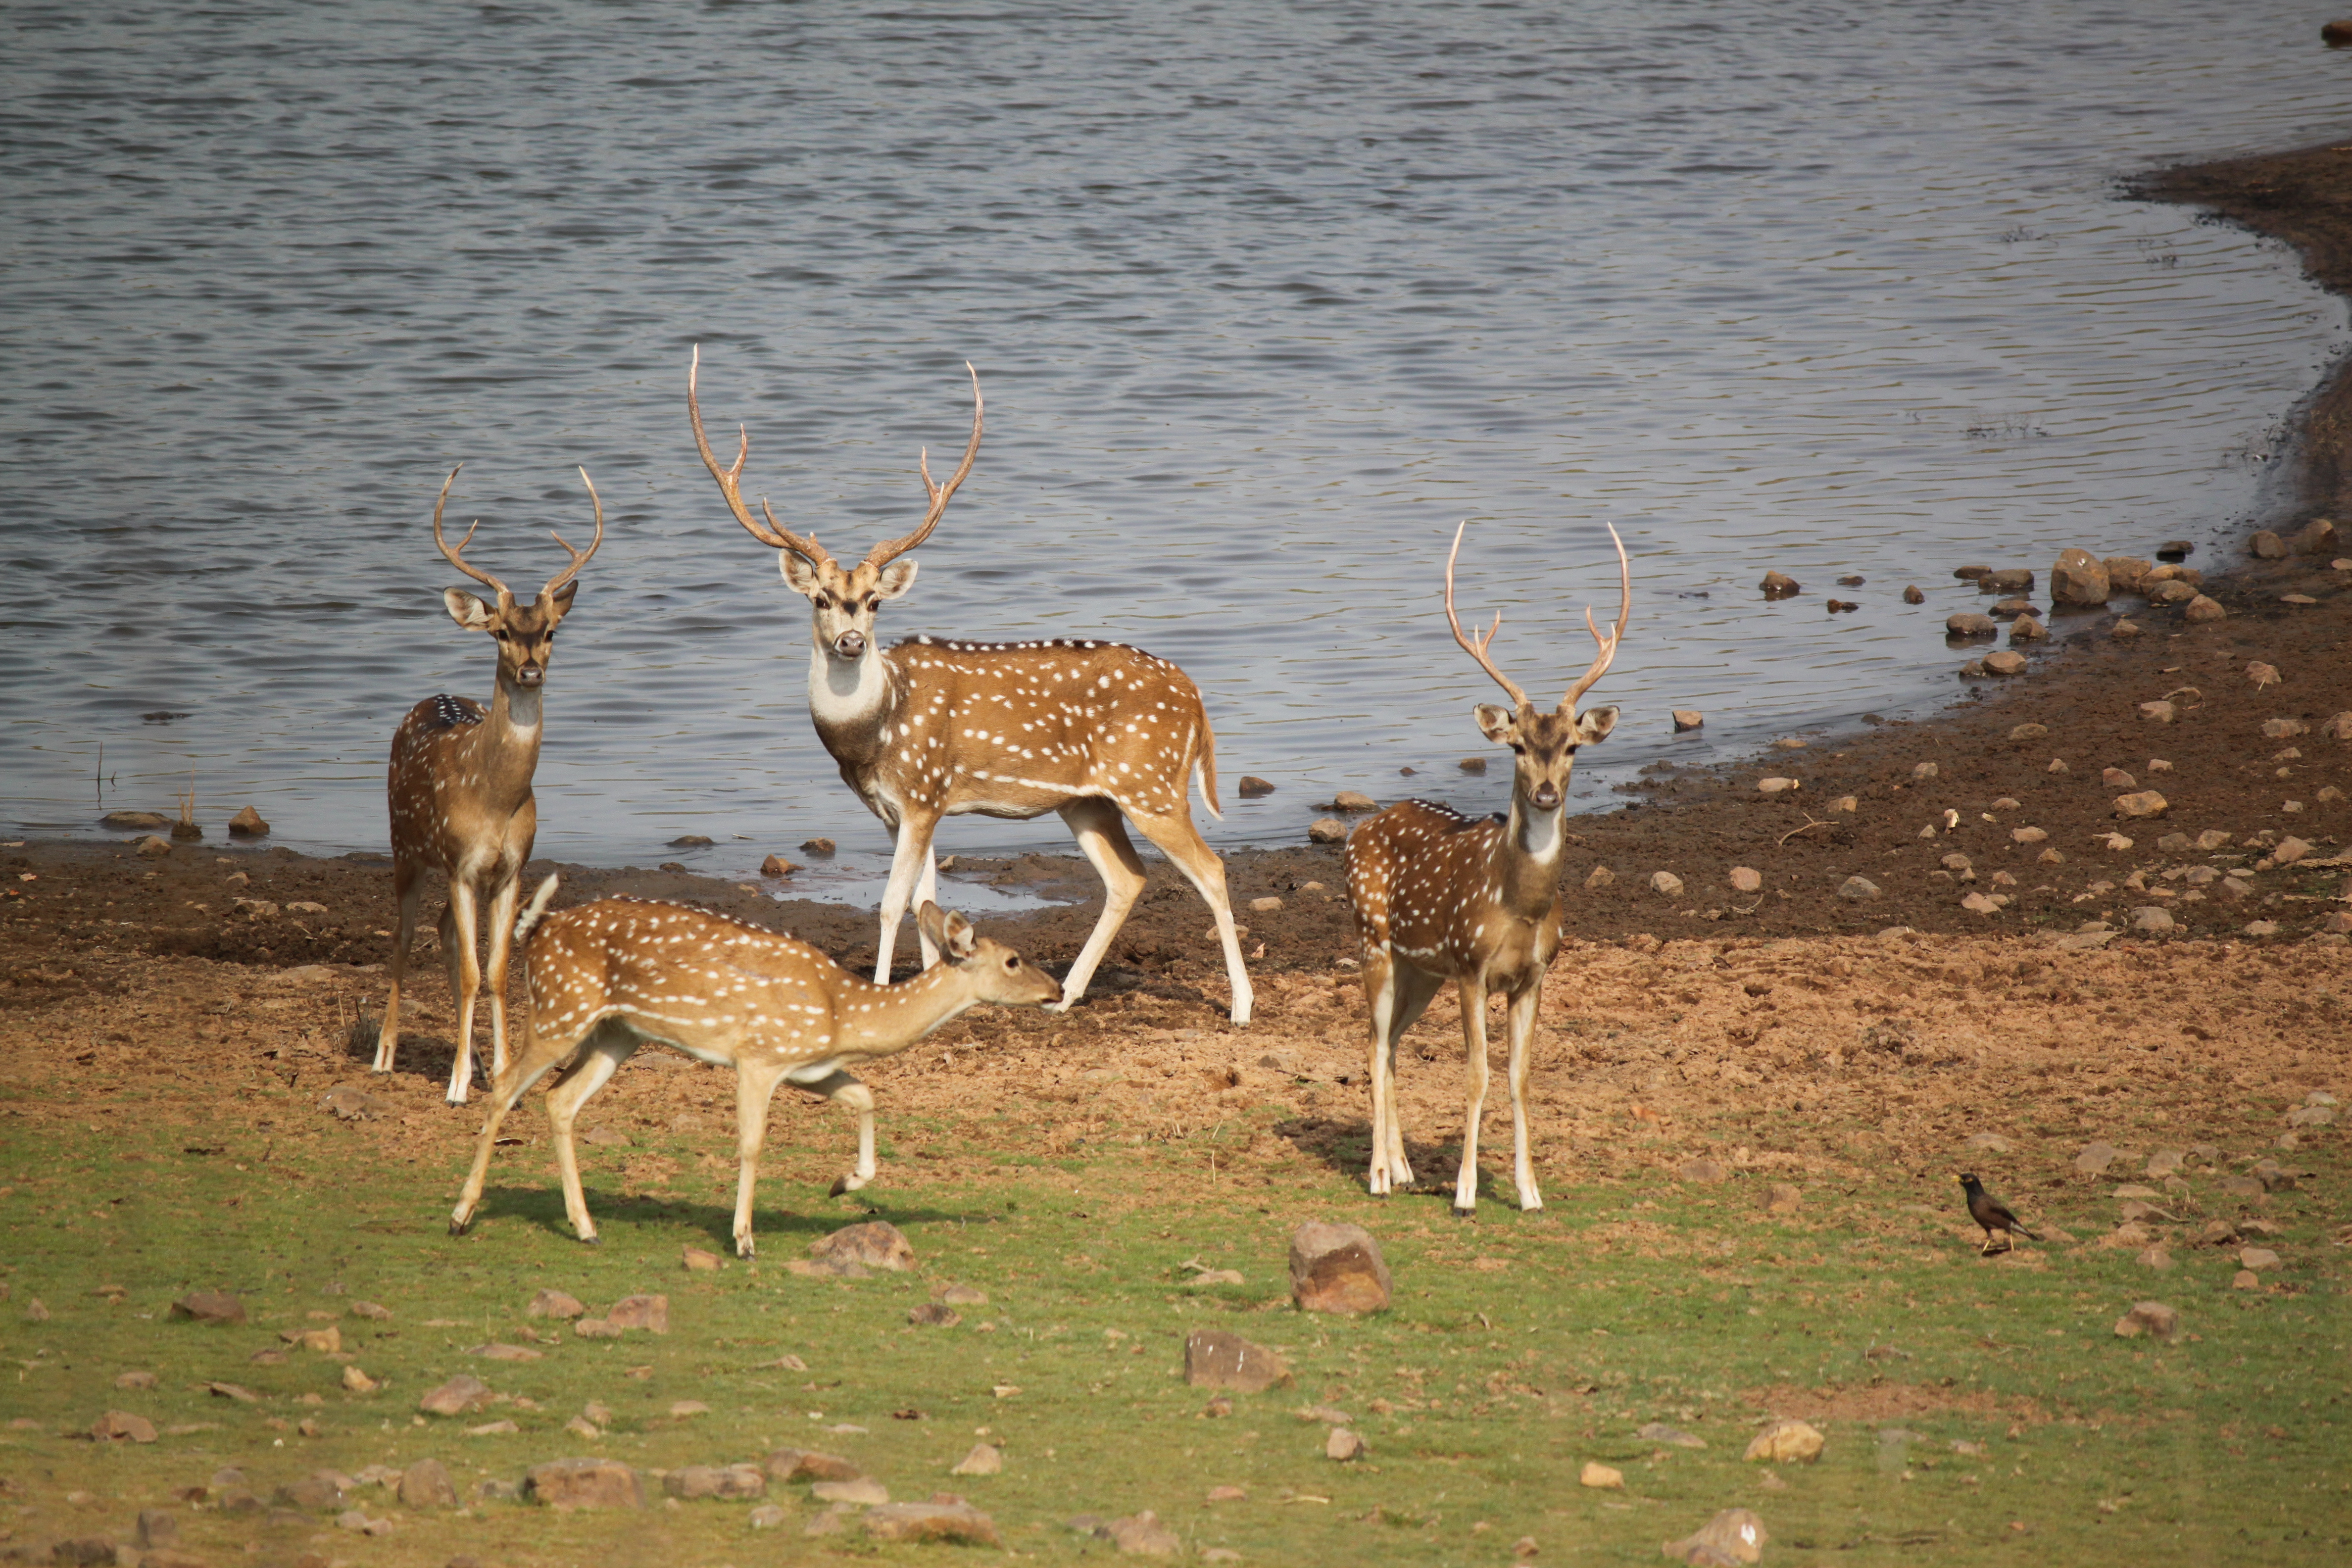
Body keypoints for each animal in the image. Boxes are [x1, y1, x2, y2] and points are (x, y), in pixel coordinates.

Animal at [374, 464, 603, 1105]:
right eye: (500, 631)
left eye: (549, 631)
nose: (529, 669)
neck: (495, 800)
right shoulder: (459, 862)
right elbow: (475, 970)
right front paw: (454, 1086)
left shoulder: (510, 869)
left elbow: (497, 971)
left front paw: (503, 1076)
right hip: (404, 845)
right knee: (404, 936)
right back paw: (385, 1054)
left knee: (446, 934)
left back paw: (473, 1060)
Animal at [449, 875, 1064, 1256]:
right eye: (1014, 960)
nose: (1056, 989)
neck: (846, 1015)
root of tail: (538, 930)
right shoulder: (759, 1055)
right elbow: (751, 1143)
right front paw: (744, 1240)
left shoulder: (811, 1067)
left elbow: (866, 1096)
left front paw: (844, 1183)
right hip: (562, 1009)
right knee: (504, 1087)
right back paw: (461, 1214)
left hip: (617, 1033)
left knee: (559, 1100)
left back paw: (586, 1227)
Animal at [687, 348, 1254, 1024]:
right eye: (821, 598)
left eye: (874, 601)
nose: (850, 642)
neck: (872, 736)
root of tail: (1196, 697)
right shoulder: (901, 808)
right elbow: (923, 902)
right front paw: (933, 995)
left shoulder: (924, 792)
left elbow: (890, 903)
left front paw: (883, 993)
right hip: (1087, 800)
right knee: (1128, 877)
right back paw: (1065, 995)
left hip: (1151, 782)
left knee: (1212, 868)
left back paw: (1241, 1007)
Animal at [1343, 520, 1629, 1216]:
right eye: (1518, 745)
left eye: (1573, 746)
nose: (1547, 793)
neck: (1519, 907)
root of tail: (1360, 828)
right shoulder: (1472, 967)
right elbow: (1475, 1075)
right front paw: (1467, 1193)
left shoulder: (1534, 975)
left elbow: (1519, 1077)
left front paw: (1530, 1191)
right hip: (1374, 940)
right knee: (1372, 1044)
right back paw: (1379, 1175)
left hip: (1422, 969)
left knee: (1393, 1045)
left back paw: (1405, 1169)